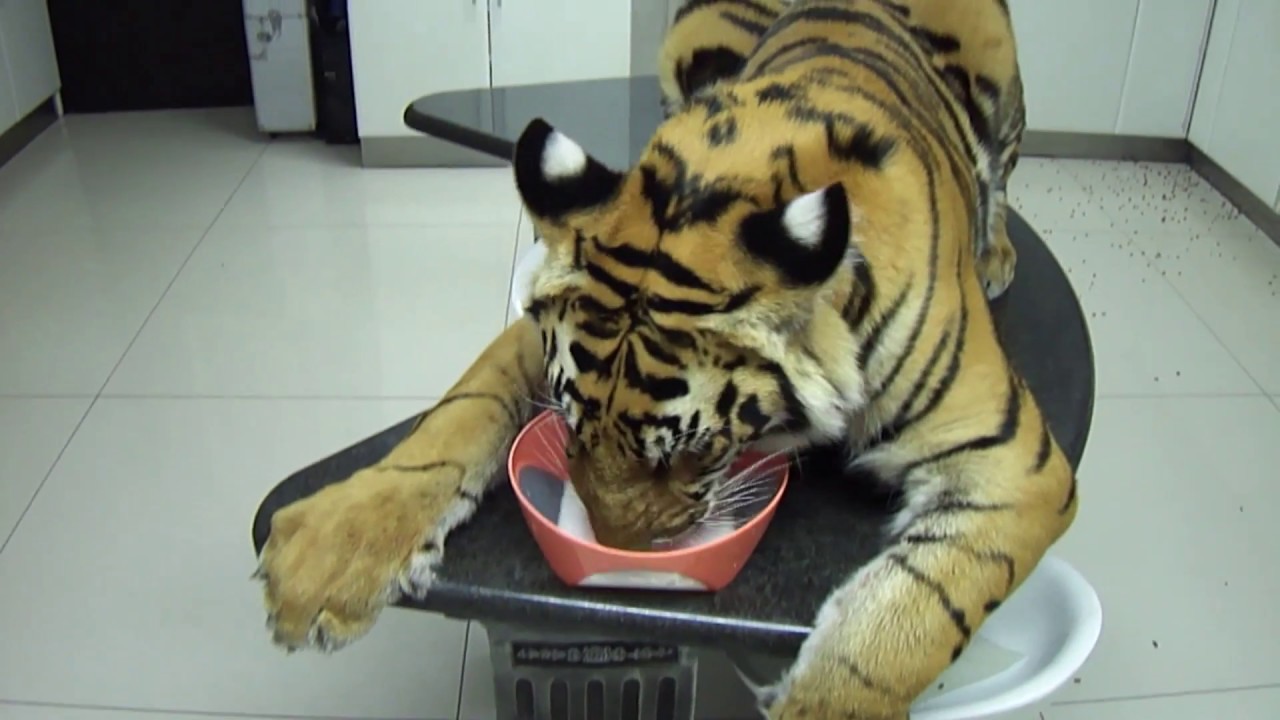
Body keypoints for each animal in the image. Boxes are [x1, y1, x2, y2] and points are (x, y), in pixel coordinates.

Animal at [255, 0, 1079, 717]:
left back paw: (998, 251)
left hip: (1003, 78)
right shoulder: (541, 321)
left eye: (696, 453)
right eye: (570, 427)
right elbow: (459, 415)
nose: (621, 562)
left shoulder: (1013, 461)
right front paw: (329, 555)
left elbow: (908, 621)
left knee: (1004, 172)